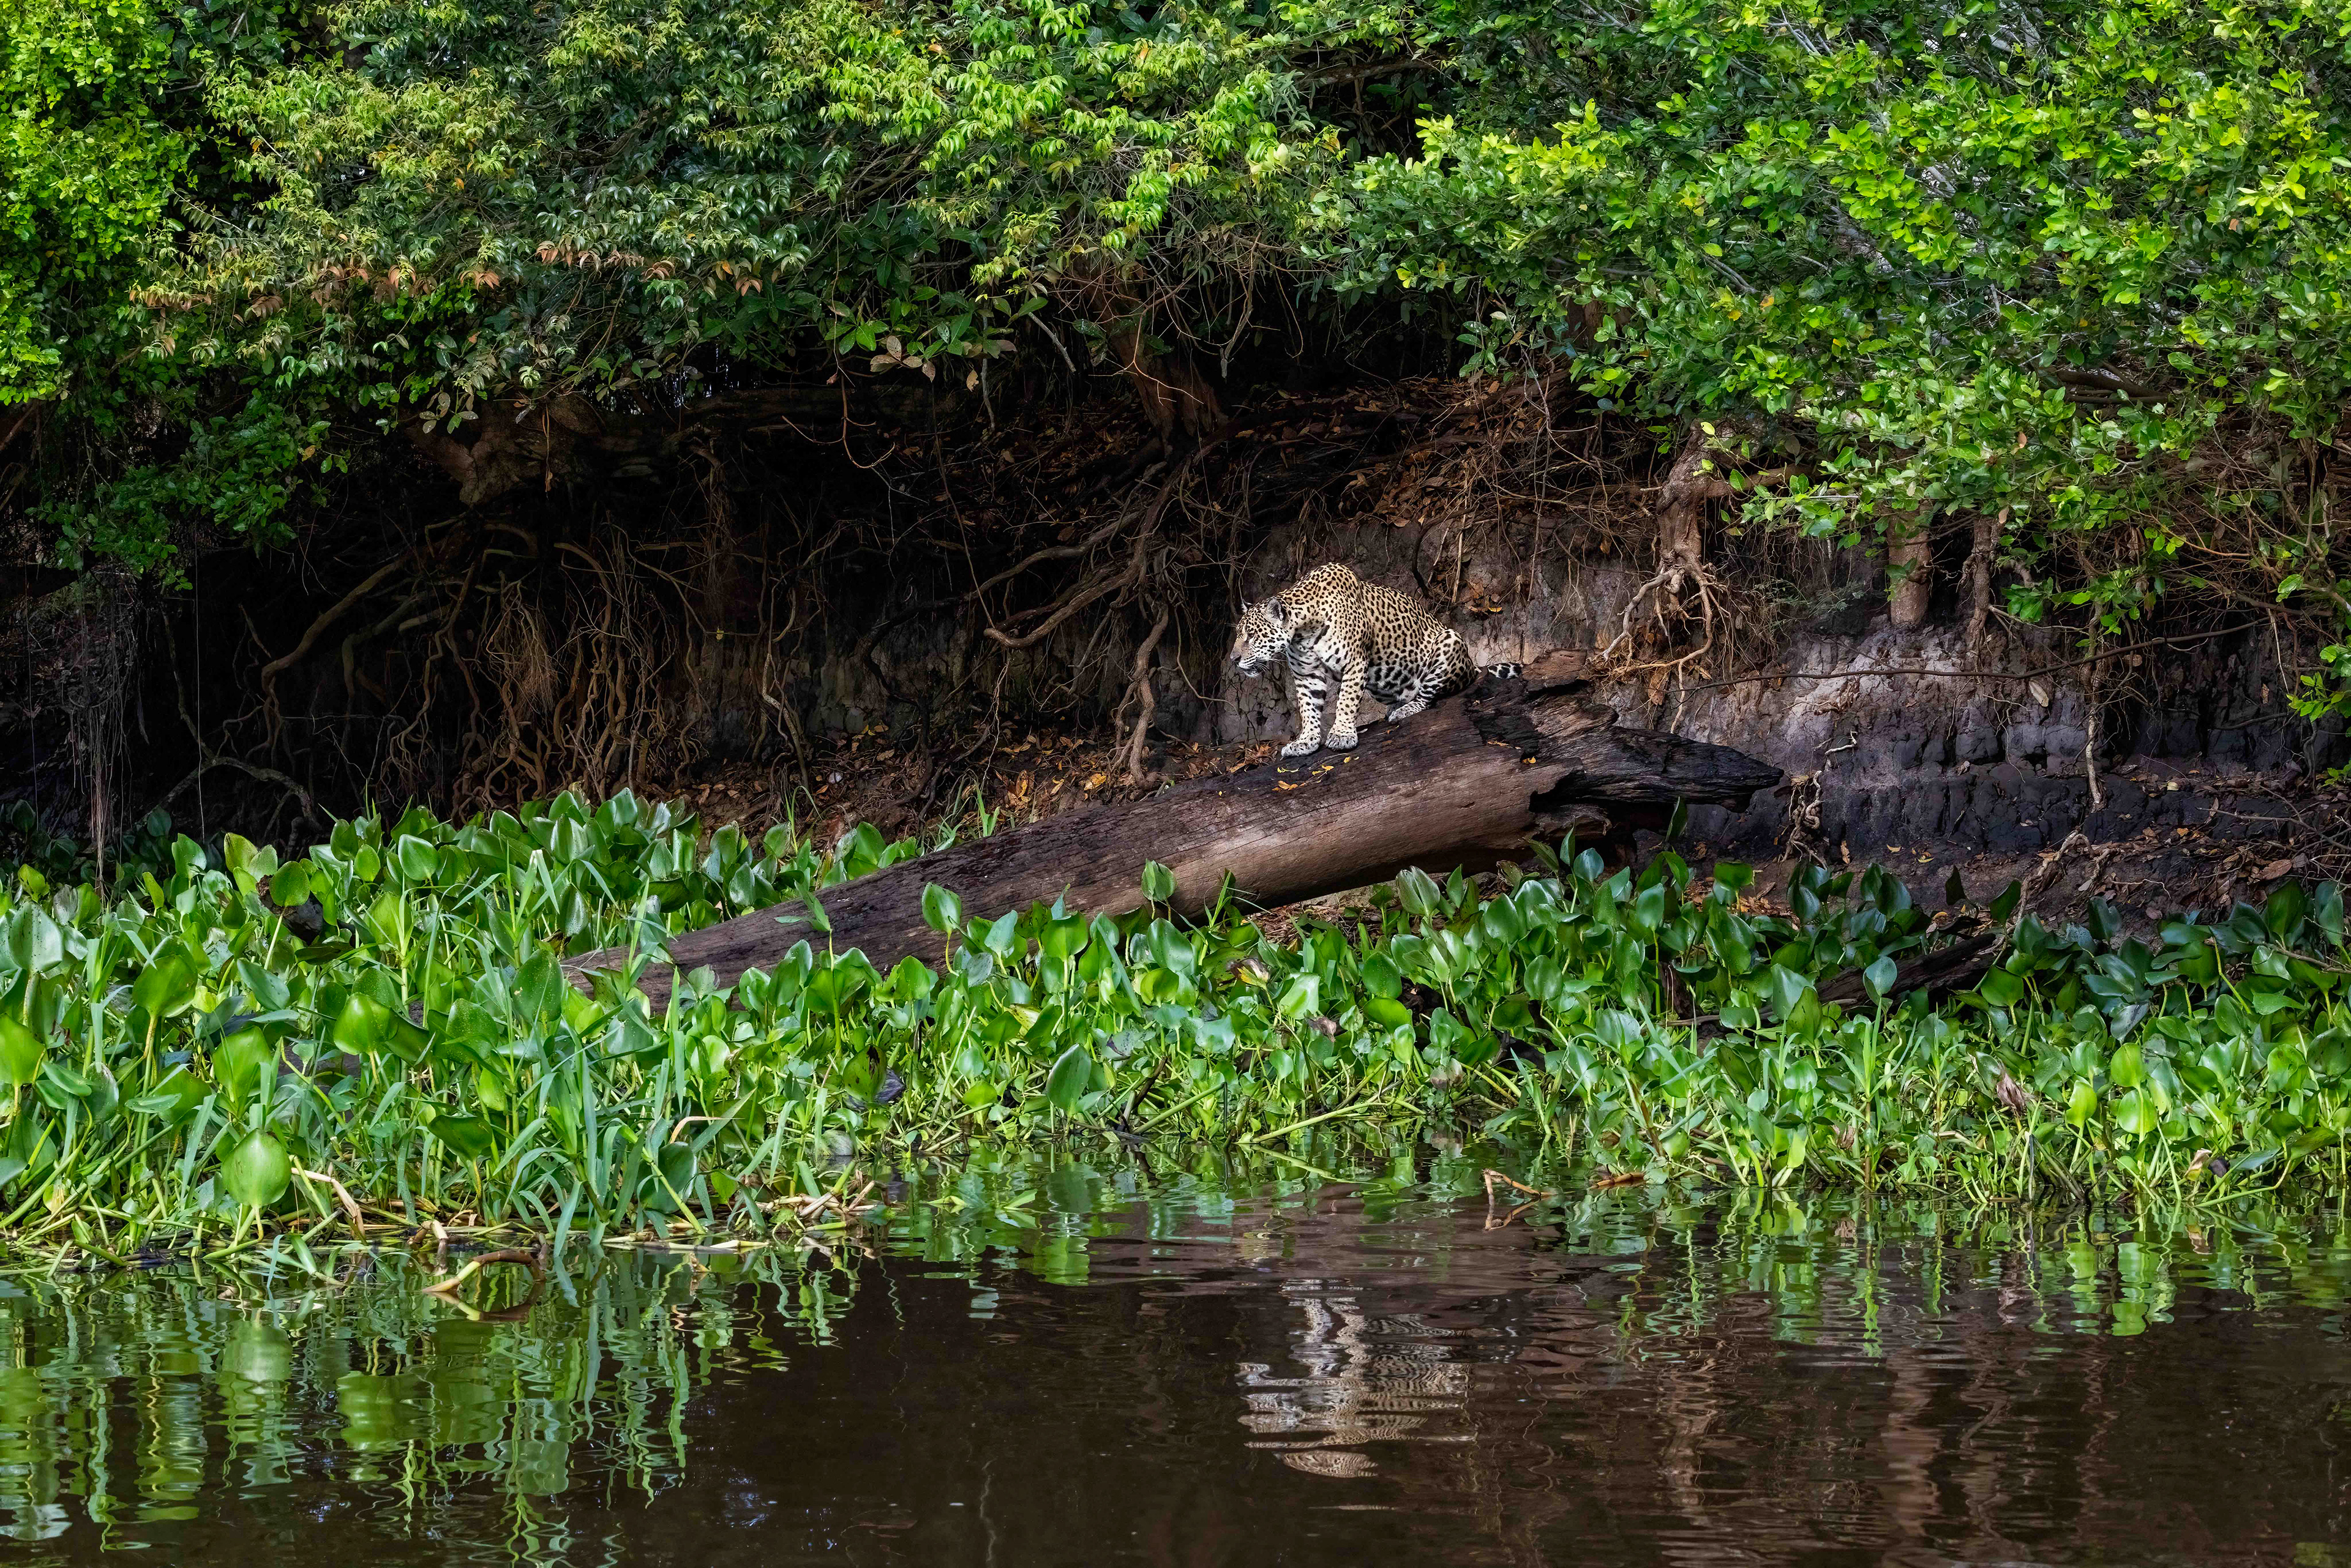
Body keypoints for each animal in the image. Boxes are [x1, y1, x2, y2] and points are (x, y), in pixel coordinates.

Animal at [1229, 562, 1523, 757]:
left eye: (1251, 636)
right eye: (1240, 635)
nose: (1233, 659)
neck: (1302, 632)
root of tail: (1473, 666)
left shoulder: (1355, 662)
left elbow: (1346, 701)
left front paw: (1342, 735)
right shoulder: (1306, 675)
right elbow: (1308, 709)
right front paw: (1306, 741)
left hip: (1448, 641)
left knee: (1428, 696)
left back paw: (1404, 710)